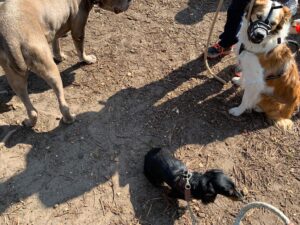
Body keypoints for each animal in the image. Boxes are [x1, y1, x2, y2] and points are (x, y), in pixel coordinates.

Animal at [0, 0, 131, 126]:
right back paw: (69, 118)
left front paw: (59, 55)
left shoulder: (56, 27)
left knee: (30, 107)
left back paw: (30, 122)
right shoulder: (78, 31)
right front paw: (87, 59)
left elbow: (56, 41)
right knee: (62, 103)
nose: (130, 1)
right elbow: (80, 49)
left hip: (14, 78)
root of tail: (11, 36)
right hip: (50, 70)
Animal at [230, 0, 300, 129]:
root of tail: (290, 113)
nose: (259, 35)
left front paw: (238, 111)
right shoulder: (247, 65)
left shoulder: (256, 82)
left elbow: (245, 98)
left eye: (272, 24)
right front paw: (239, 81)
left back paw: (255, 107)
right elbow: (244, 75)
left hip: (263, 96)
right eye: (258, 16)